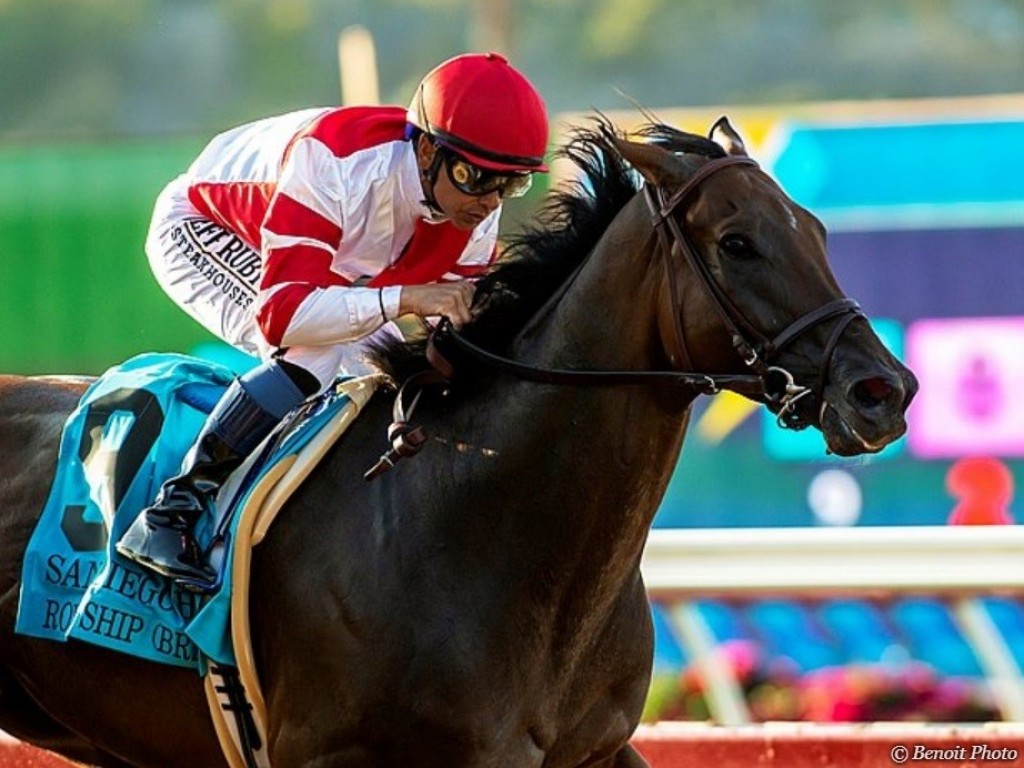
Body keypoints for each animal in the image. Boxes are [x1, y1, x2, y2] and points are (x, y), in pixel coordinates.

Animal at [0, 117, 917, 765]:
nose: (884, 391)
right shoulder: (326, 751)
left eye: (817, 232)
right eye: (737, 243)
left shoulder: (594, 751)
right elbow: (295, 305)